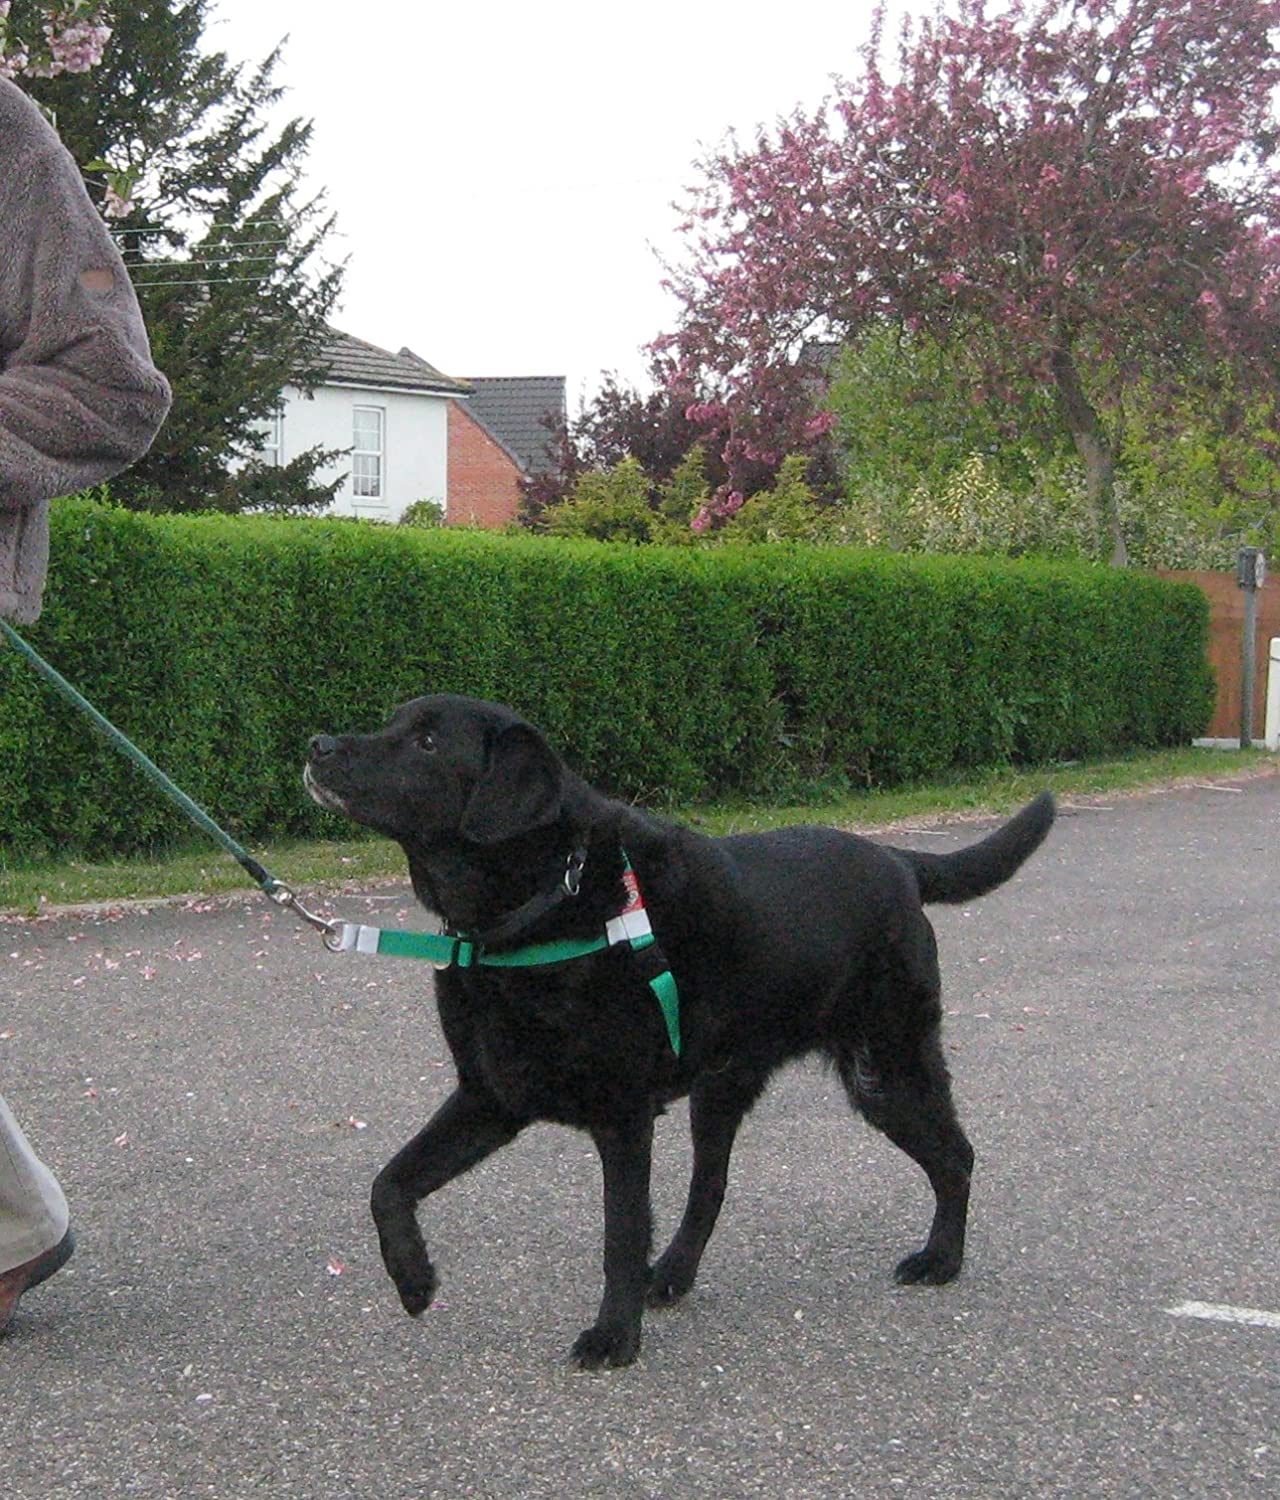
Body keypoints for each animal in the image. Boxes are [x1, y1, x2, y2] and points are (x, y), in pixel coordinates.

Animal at [304, 696, 1056, 1368]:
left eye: (428, 742)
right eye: (395, 722)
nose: (317, 744)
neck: (542, 906)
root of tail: (899, 862)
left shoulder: (622, 1115)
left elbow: (620, 1231)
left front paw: (614, 1338)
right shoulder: (491, 1095)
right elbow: (388, 1184)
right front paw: (413, 1278)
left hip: (887, 1068)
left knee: (956, 1156)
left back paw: (941, 1259)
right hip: (724, 1089)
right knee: (710, 1189)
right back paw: (670, 1275)